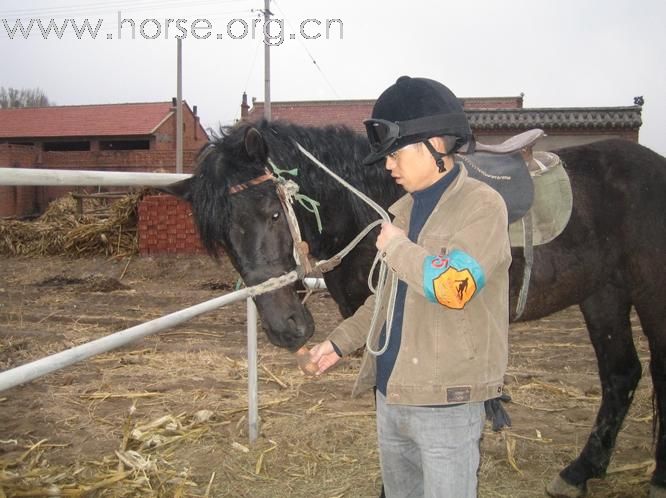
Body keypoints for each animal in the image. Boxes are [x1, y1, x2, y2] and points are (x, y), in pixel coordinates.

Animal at [166, 118, 664, 496]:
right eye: (223, 238)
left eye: (272, 212)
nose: (287, 329)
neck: (371, 207)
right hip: (603, 295)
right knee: (621, 375)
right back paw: (580, 471)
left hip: (649, 296)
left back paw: (655, 476)